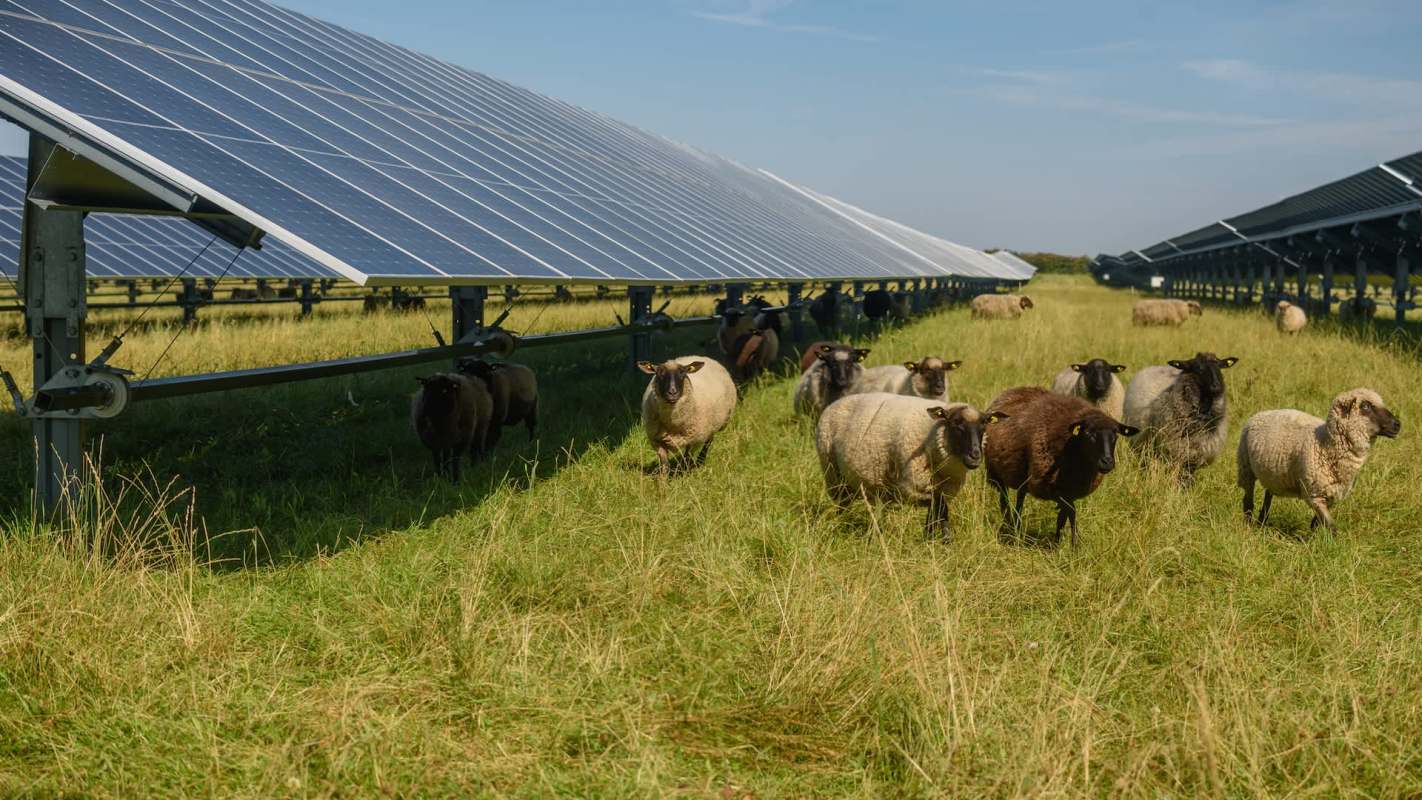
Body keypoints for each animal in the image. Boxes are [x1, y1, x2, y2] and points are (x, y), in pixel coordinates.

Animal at [816, 393, 1002, 536]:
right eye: (956, 423)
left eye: (984, 425)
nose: (975, 457)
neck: (930, 434)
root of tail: (836, 402)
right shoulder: (912, 487)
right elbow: (940, 508)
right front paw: (941, 538)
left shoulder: (942, 487)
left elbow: (937, 511)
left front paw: (931, 538)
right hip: (833, 474)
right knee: (842, 503)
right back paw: (841, 524)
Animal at [984, 387, 1140, 546]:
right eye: (1088, 433)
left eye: (1116, 435)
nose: (1107, 462)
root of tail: (1013, 391)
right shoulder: (1045, 487)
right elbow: (1071, 510)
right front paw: (1075, 543)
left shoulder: (1069, 490)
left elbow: (1062, 516)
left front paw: (1057, 541)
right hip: (996, 473)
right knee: (1005, 500)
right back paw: (1009, 525)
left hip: (1023, 475)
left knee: (1020, 497)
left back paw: (1016, 526)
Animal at [1123, 352, 1239, 484]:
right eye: (1198, 368)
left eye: (1220, 366)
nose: (1217, 387)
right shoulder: (1176, 450)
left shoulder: (1197, 453)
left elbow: (1187, 475)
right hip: (1143, 444)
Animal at [1238, 388, 1400, 531]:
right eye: (1365, 406)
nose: (1398, 424)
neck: (1325, 444)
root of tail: (1263, 412)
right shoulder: (1314, 494)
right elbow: (1331, 526)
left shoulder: (1332, 494)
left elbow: (1318, 523)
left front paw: (1314, 536)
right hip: (1245, 468)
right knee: (1248, 501)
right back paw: (1249, 526)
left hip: (1272, 474)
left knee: (1268, 495)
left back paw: (1261, 523)